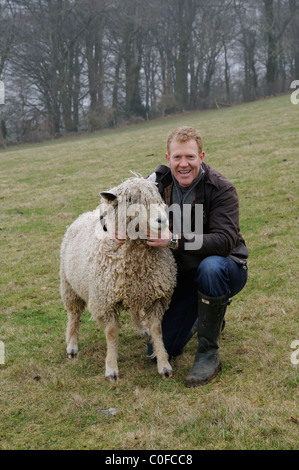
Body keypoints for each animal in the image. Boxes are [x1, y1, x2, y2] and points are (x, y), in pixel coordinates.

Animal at [60, 176, 178, 382]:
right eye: (129, 200)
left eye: (156, 194)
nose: (161, 220)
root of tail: (83, 215)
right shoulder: (104, 301)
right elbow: (112, 333)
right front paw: (111, 369)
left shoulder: (156, 297)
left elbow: (157, 329)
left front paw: (164, 365)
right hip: (69, 286)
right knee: (74, 315)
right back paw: (72, 346)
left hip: (134, 289)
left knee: (134, 309)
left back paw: (142, 329)